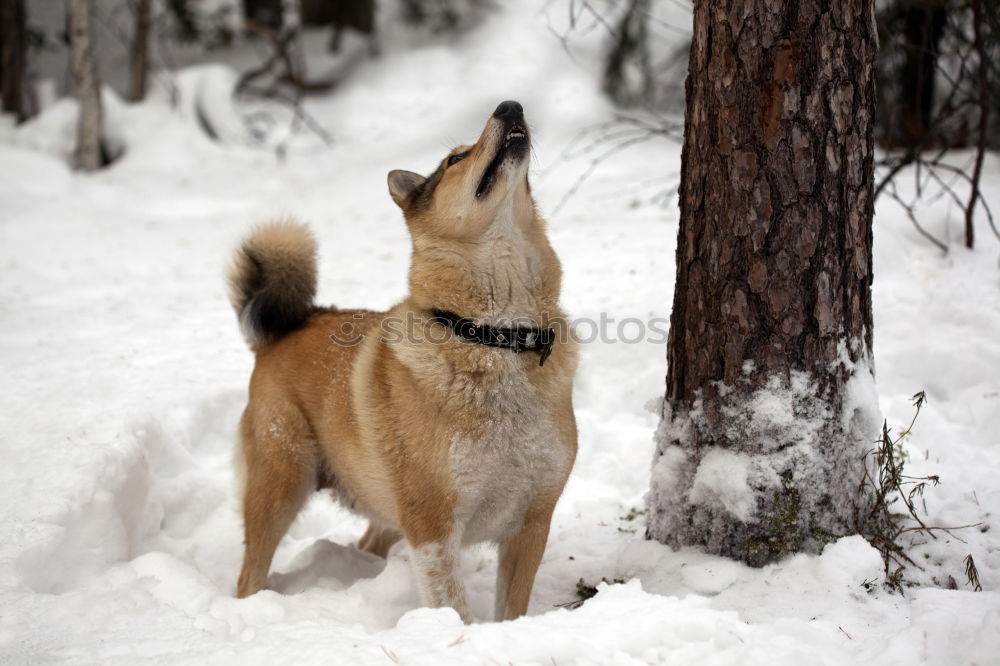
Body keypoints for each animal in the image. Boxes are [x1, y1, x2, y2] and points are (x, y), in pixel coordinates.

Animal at [227, 101, 580, 620]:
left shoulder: (532, 520)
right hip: (282, 480)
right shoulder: (432, 527)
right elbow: (454, 609)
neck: (494, 339)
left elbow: (511, 610)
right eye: (455, 159)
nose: (510, 106)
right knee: (249, 572)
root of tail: (287, 326)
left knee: (368, 541)